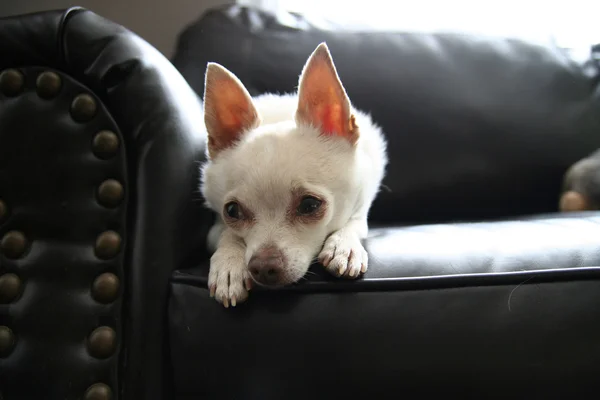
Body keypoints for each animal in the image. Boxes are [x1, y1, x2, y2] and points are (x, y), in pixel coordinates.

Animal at [200, 43, 390, 306]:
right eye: (232, 211)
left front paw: (344, 245)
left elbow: (355, 222)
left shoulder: (361, 204)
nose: (262, 267)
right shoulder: (215, 227)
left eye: (310, 205)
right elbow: (228, 234)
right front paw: (229, 264)